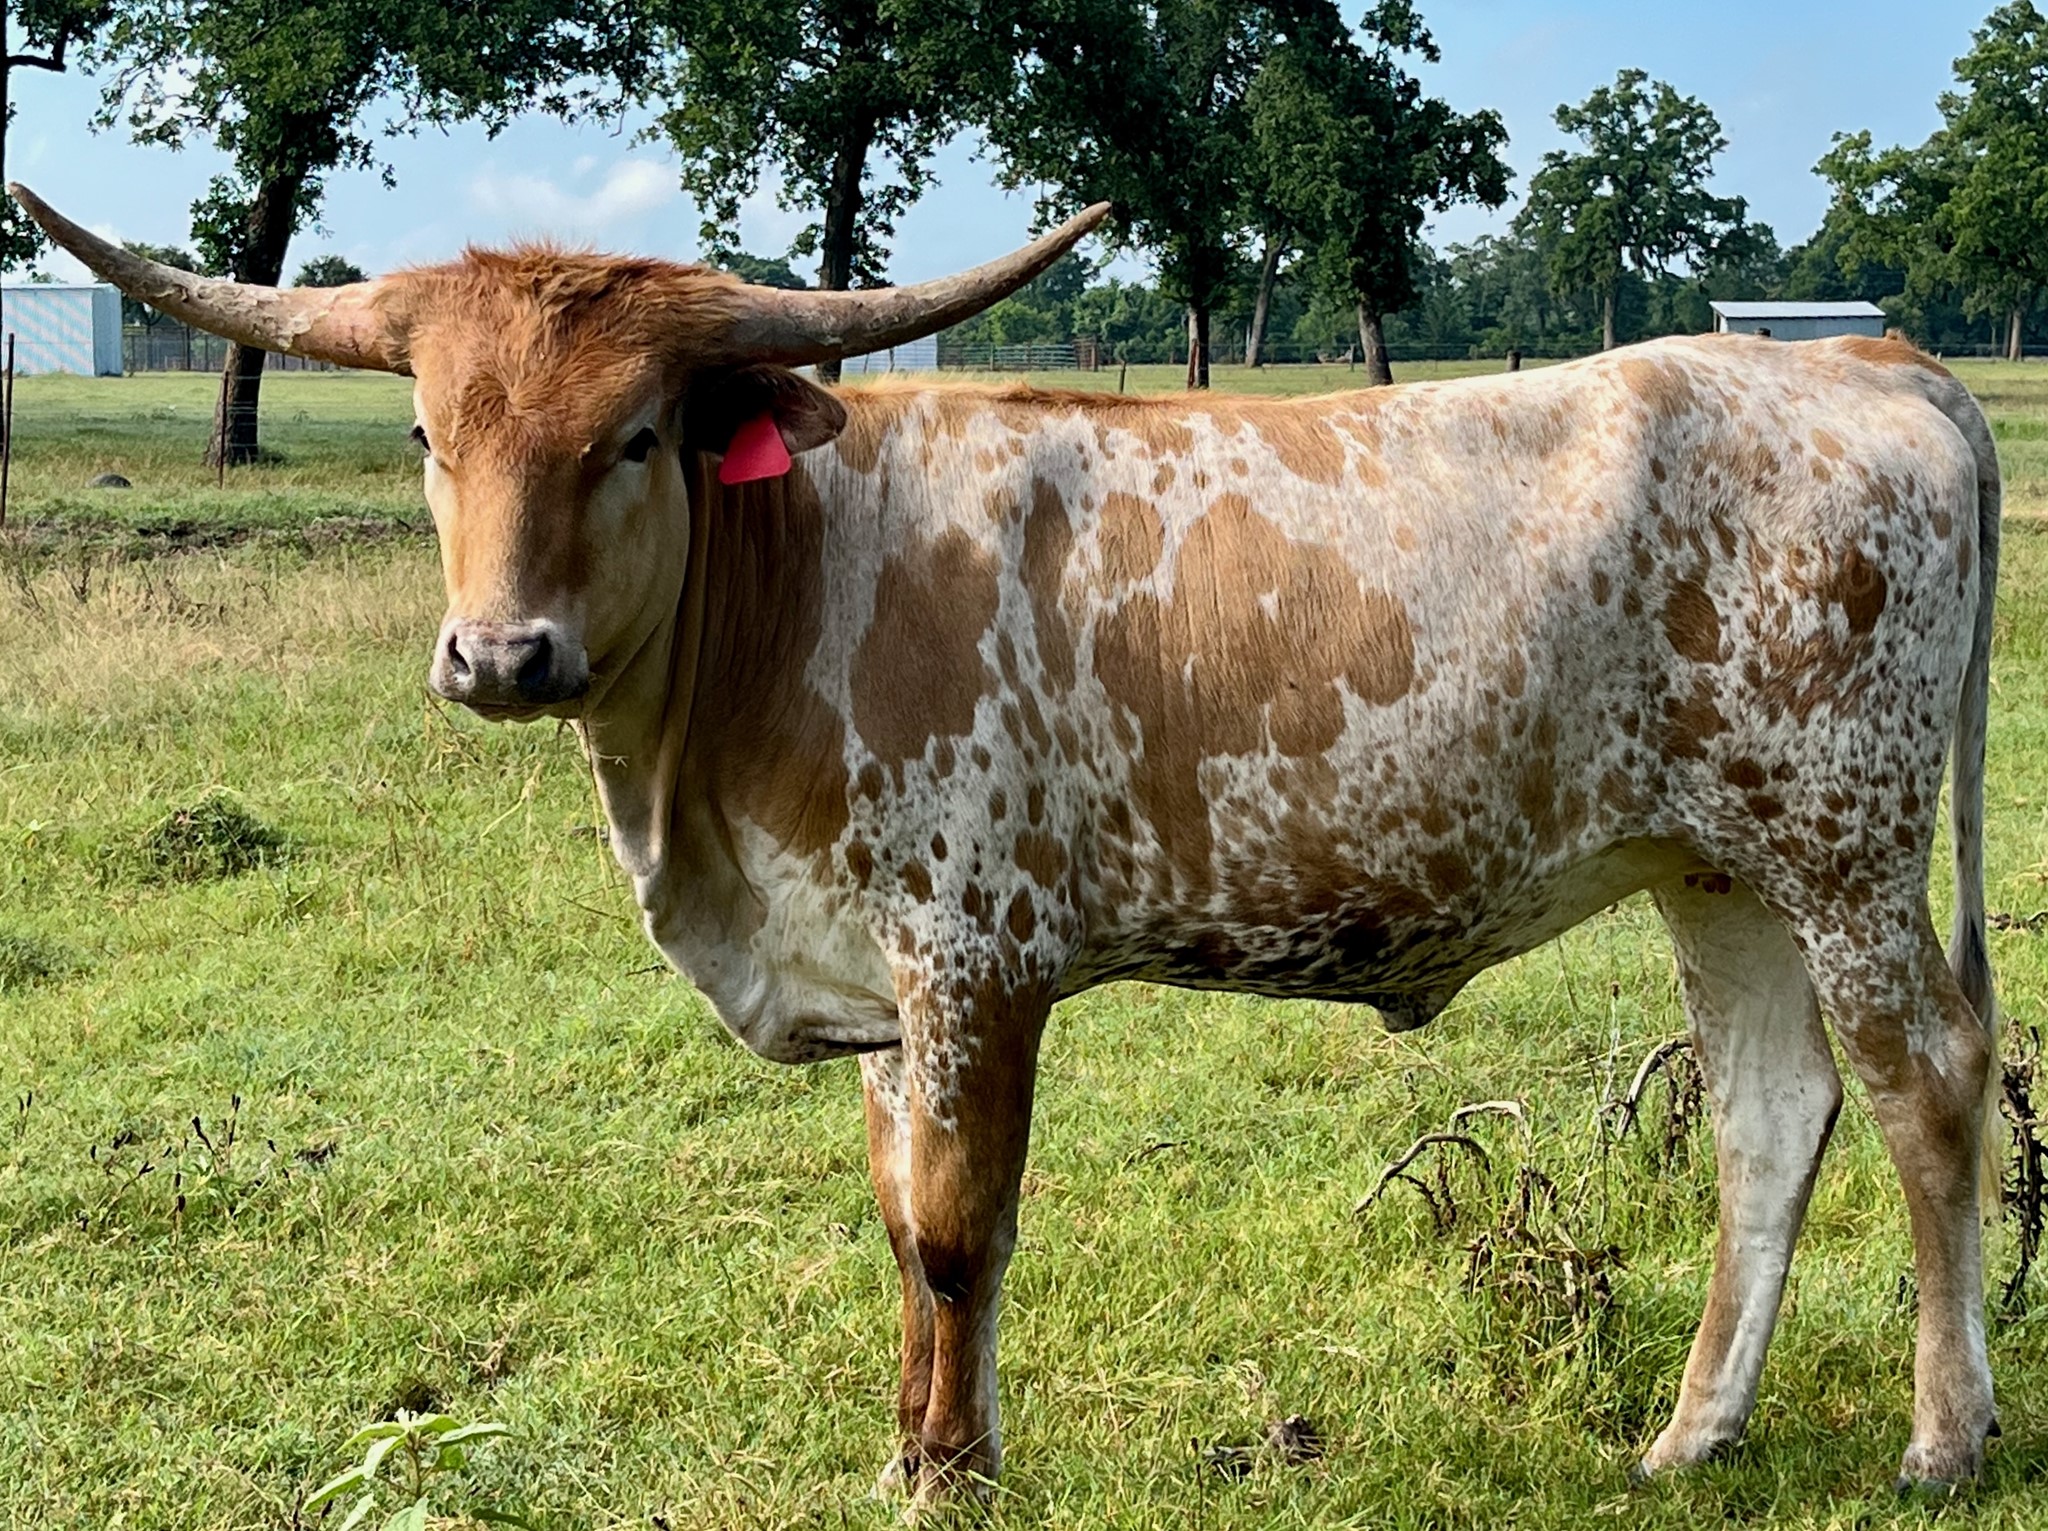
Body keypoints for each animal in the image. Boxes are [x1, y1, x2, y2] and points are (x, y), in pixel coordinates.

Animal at [11, 181, 2004, 1507]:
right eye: (429, 433)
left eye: (638, 436)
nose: (503, 656)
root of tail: (1882, 366)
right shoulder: (880, 977)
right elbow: (903, 1227)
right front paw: (909, 1449)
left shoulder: (977, 955)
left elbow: (965, 1231)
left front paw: (958, 1471)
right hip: (1715, 865)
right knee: (1769, 1116)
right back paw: (1690, 1434)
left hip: (1845, 844)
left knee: (1926, 1087)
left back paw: (1942, 1432)